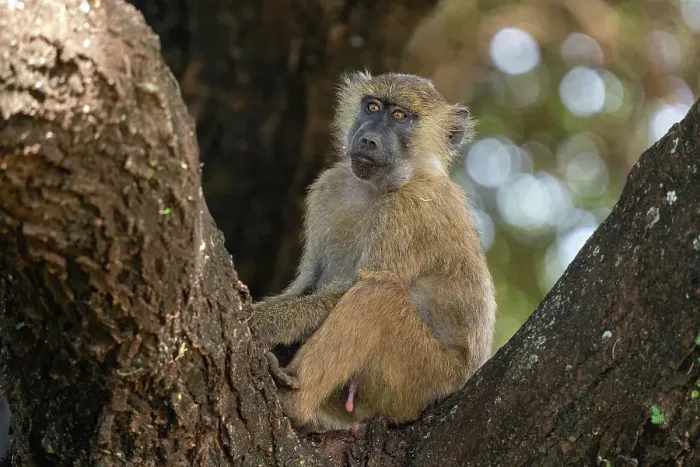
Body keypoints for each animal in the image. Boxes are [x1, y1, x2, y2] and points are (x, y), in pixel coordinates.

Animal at [249, 71, 496, 433]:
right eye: (372, 107)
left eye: (400, 116)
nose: (367, 140)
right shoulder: (329, 187)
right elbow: (307, 285)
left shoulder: (411, 212)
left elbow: (351, 290)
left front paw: (255, 323)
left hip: (422, 382)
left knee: (378, 294)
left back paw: (293, 402)